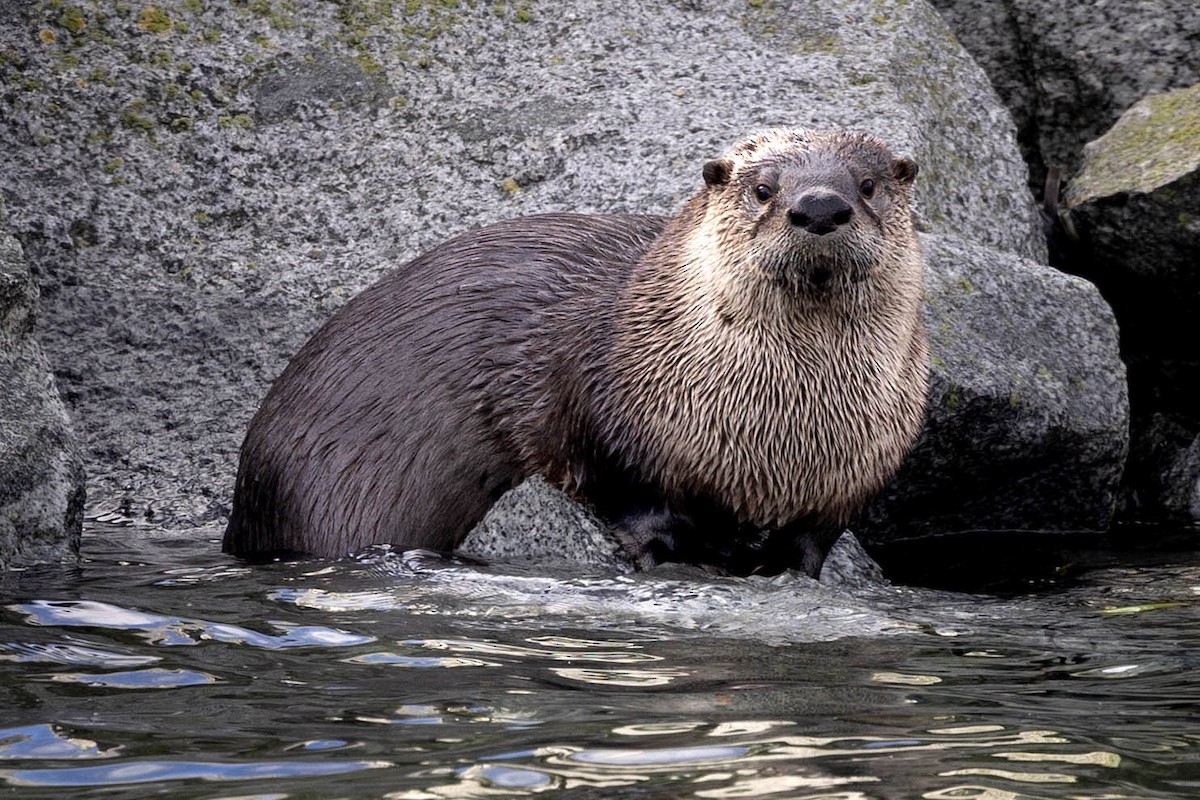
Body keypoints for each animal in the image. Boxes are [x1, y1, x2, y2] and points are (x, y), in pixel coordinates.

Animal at [224, 128, 928, 578]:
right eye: (763, 188)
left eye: (867, 185)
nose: (820, 205)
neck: (783, 426)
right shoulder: (609, 414)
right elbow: (626, 491)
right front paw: (668, 552)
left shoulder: (859, 466)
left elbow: (813, 538)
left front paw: (789, 570)